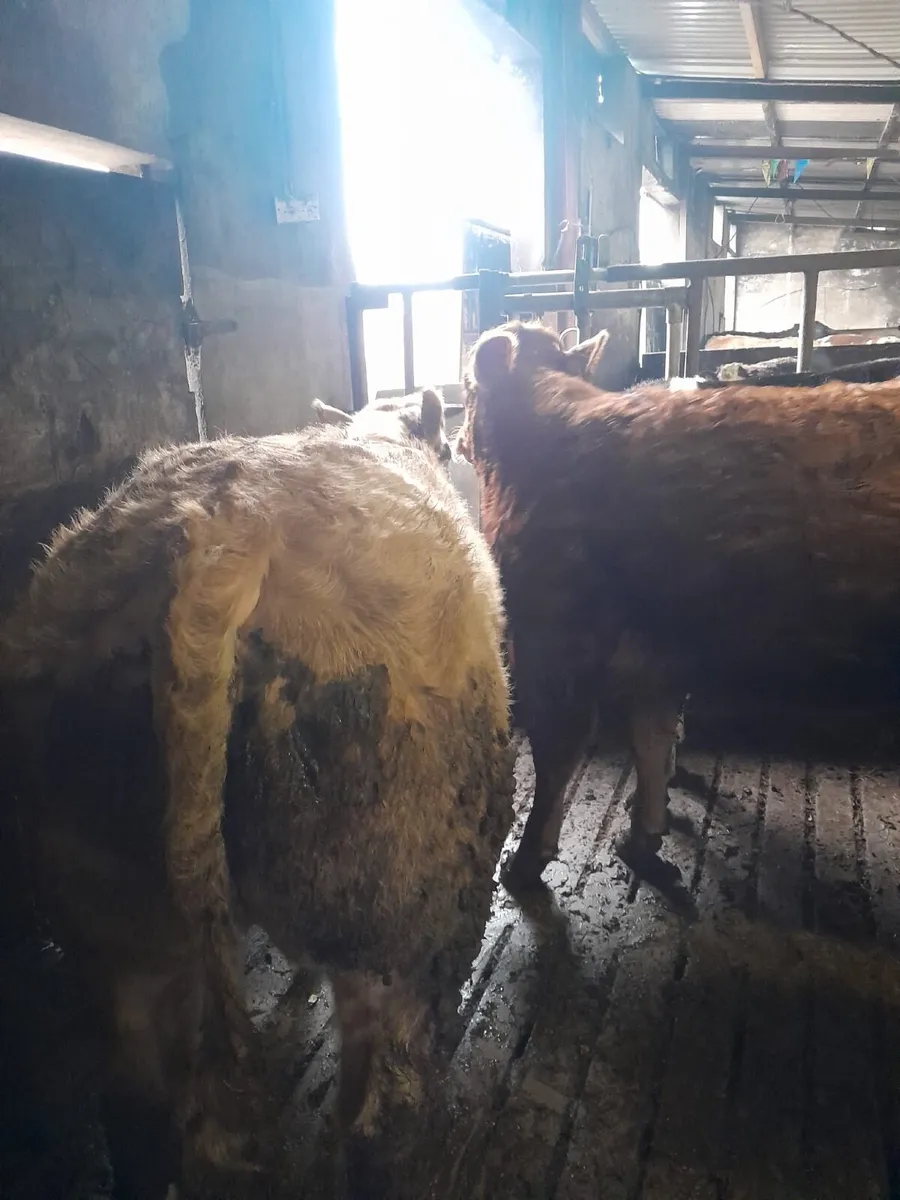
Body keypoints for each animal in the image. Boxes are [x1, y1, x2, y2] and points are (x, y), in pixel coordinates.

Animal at [457, 319, 900, 905]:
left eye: (466, 386)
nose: (457, 437)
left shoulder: (553, 641)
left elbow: (557, 756)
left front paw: (526, 861)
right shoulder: (656, 660)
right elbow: (654, 741)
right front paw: (643, 837)